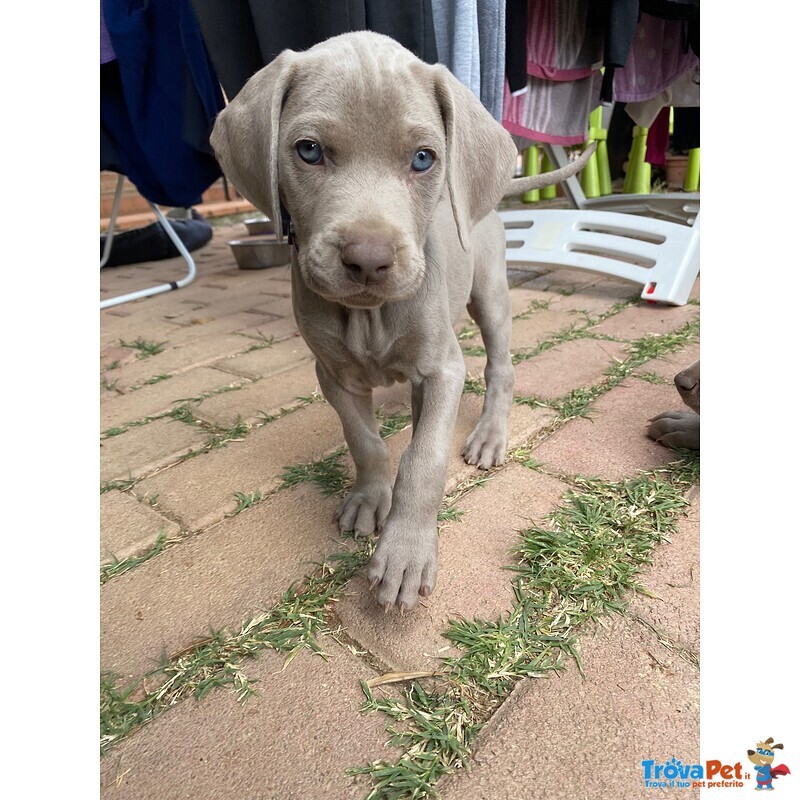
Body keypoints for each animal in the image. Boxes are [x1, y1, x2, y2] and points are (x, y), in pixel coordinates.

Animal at [212, 29, 592, 608]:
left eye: (422, 158)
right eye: (308, 150)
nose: (368, 260)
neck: (370, 317)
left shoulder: (444, 368)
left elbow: (424, 458)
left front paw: (406, 552)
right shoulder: (333, 374)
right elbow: (365, 441)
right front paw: (371, 498)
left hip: (490, 294)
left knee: (500, 368)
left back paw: (489, 435)